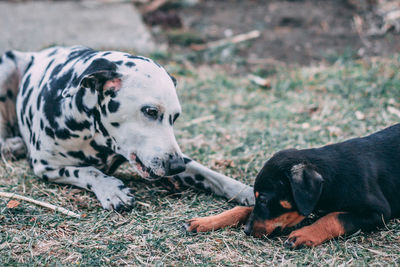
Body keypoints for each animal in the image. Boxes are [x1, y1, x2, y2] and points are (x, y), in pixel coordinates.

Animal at [0, 47, 255, 213]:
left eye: (175, 117)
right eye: (150, 111)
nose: (176, 166)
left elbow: (209, 174)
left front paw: (244, 190)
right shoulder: (46, 166)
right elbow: (88, 171)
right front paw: (111, 189)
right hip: (7, 65)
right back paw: (11, 145)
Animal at [187, 123, 400, 249]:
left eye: (265, 199)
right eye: (258, 198)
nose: (246, 231)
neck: (333, 177)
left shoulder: (379, 212)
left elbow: (335, 217)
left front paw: (305, 234)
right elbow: (244, 209)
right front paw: (205, 222)